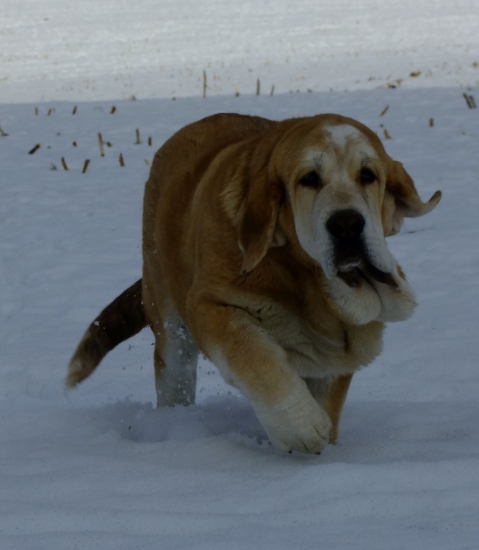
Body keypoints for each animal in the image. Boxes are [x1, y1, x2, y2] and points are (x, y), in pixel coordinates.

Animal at [67, 111, 442, 452]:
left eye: (367, 175)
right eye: (309, 178)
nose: (347, 223)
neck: (306, 279)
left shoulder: (338, 352)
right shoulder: (210, 303)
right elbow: (255, 357)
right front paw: (300, 427)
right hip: (169, 323)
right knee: (174, 373)